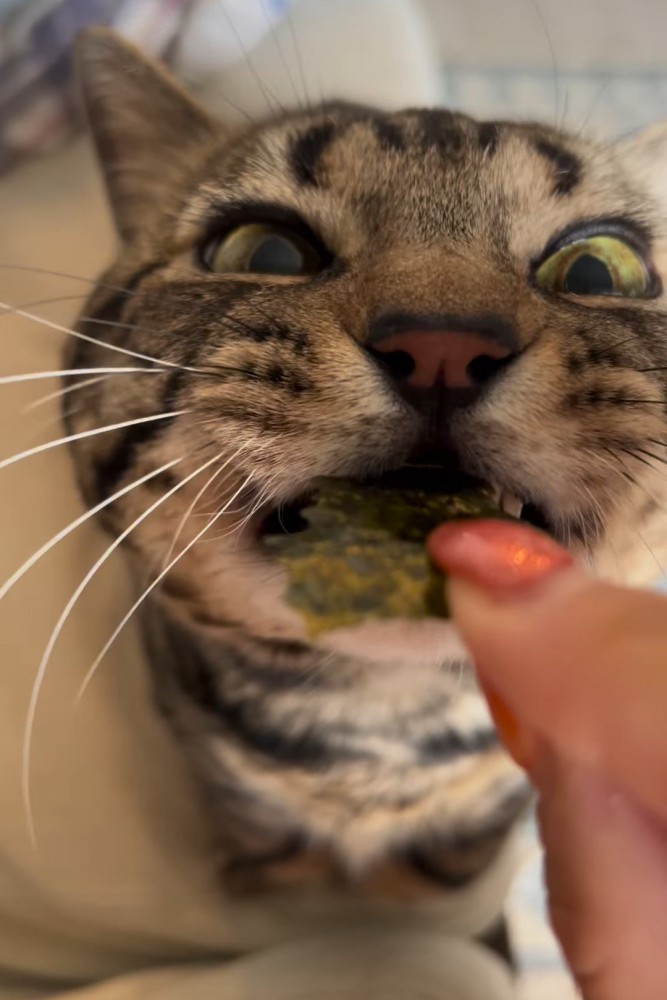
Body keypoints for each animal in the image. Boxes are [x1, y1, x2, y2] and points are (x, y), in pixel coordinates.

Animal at [65, 23, 667, 952]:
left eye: (599, 269)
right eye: (262, 249)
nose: (443, 343)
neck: (377, 734)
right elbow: (263, 832)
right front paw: (265, 878)